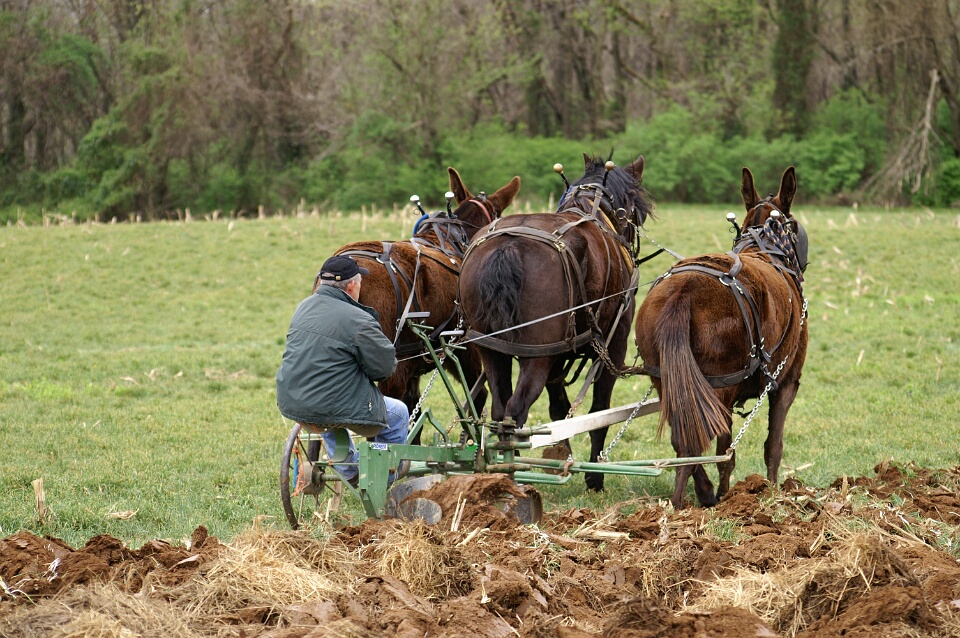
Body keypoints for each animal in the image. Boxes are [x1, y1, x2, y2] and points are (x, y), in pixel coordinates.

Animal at [458, 154, 655, 490]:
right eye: (634, 207)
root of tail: (507, 247)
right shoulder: (613, 347)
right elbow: (599, 413)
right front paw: (594, 477)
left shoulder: (557, 354)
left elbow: (559, 410)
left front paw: (562, 456)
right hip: (537, 357)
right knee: (516, 410)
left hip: (493, 350)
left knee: (500, 409)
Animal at [635, 166, 809, 509]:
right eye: (794, 224)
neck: (766, 248)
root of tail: (684, 290)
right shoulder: (786, 383)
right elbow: (773, 445)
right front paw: (772, 493)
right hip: (722, 388)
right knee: (717, 450)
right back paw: (718, 498)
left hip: (669, 382)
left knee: (684, 442)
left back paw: (697, 495)